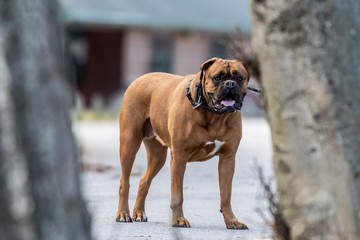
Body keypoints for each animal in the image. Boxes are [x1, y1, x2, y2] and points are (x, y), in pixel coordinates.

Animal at [116, 57, 249, 230]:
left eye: (239, 78)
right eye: (217, 77)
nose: (230, 84)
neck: (215, 116)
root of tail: (139, 78)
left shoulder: (228, 158)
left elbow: (226, 195)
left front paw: (232, 220)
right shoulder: (179, 157)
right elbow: (177, 195)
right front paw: (179, 220)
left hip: (158, 157)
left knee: (144, 181)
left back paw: (139, 213)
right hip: (129, 144)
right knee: (124, 182)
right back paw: (123, 214)